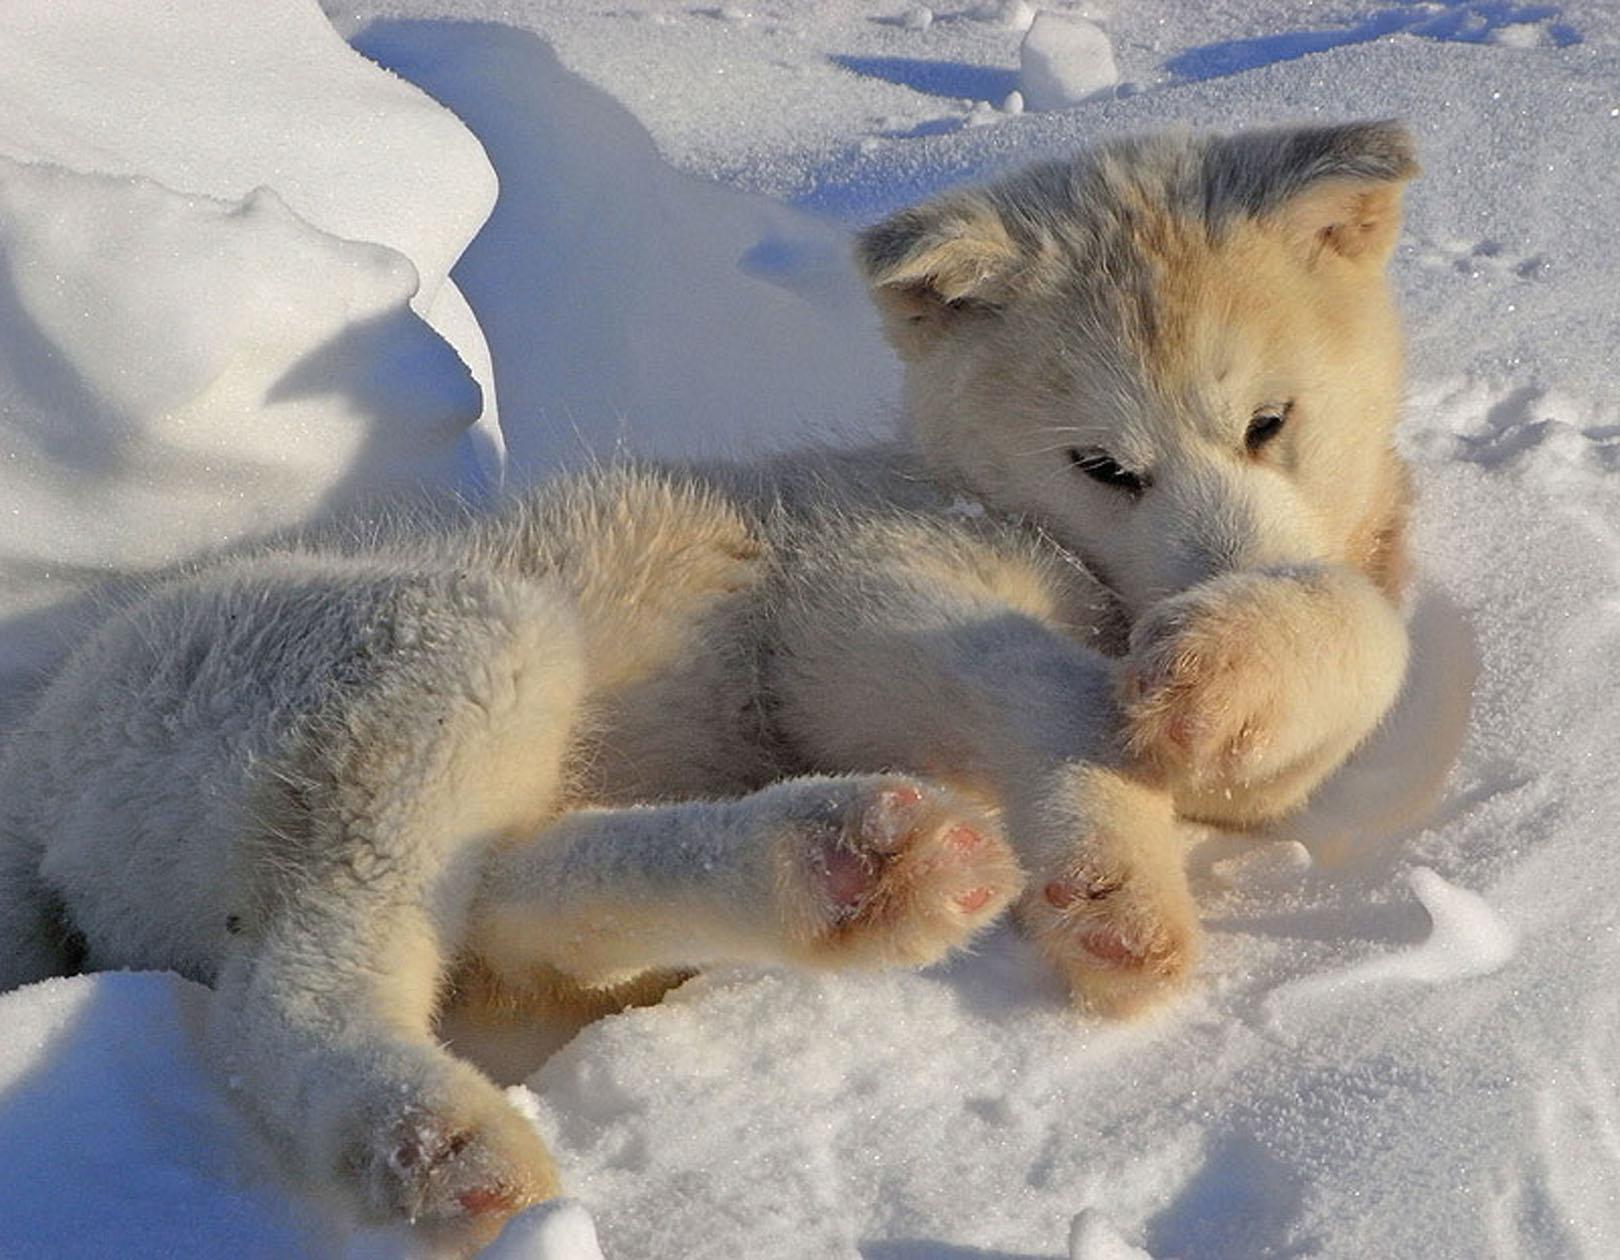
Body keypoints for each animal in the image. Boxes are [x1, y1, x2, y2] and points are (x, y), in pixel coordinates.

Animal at [0, 120, 1419, 1243]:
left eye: (1271, 422)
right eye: (1103, 466)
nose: (1213, 584)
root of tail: (32, 760)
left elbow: (1358, 642)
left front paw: (1230, 673)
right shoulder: (857, 594)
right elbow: (1056, 690)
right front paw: (1117, 875)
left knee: (505, 904)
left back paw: (843, 868)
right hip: (442, 639)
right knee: (291, 992)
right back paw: (442, 1140)